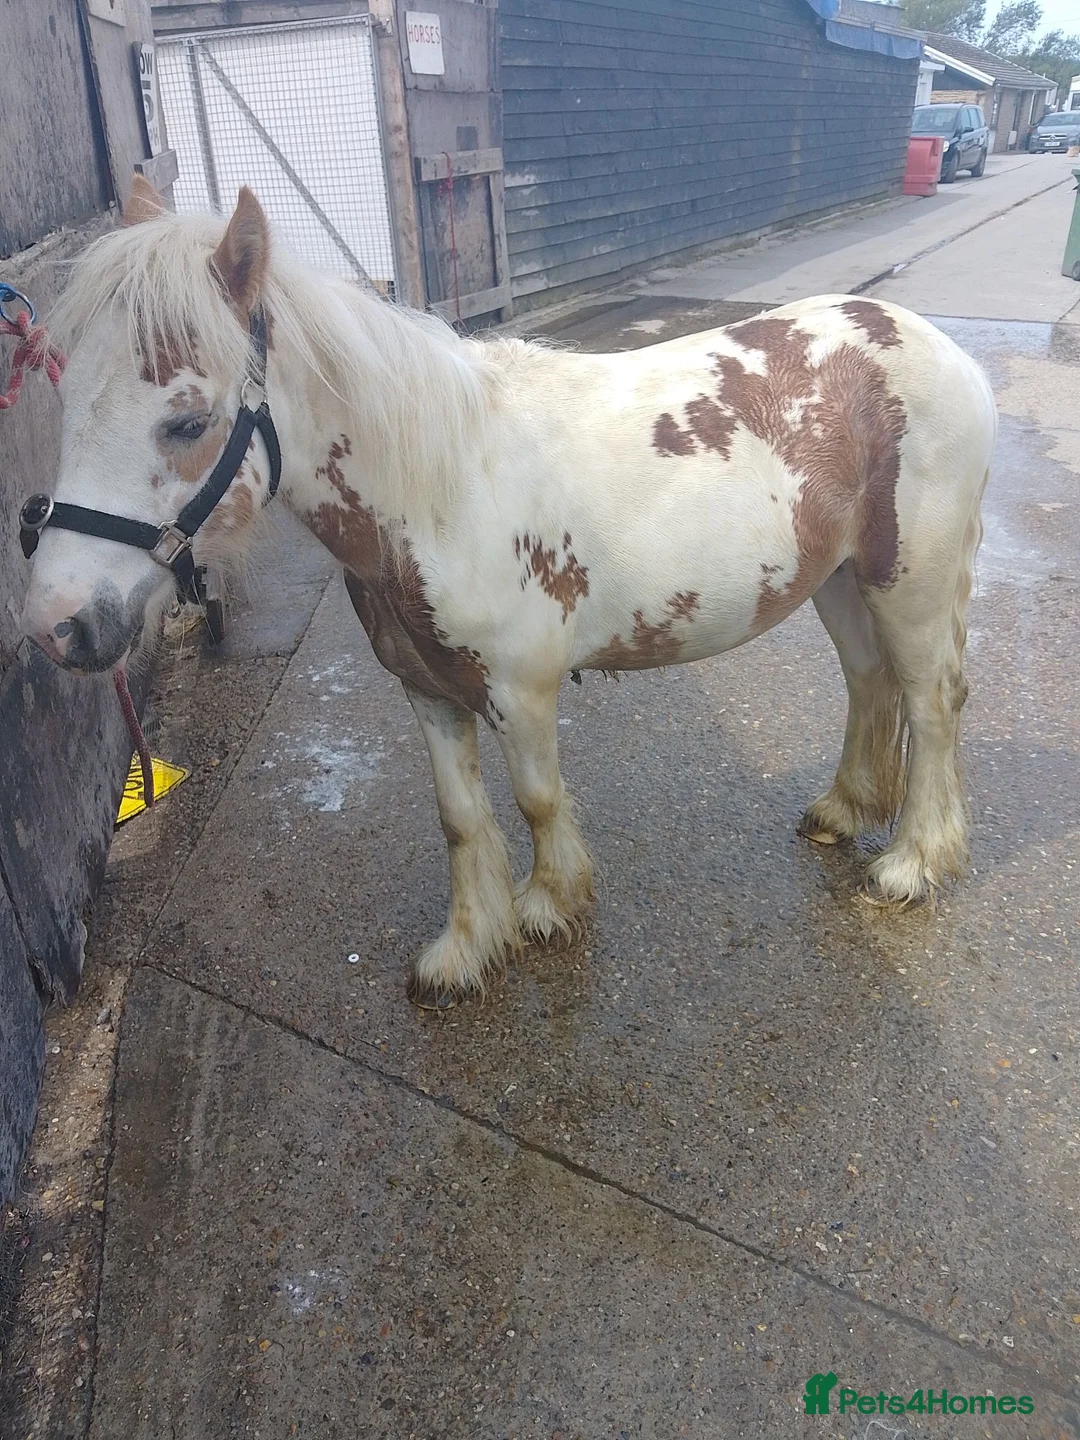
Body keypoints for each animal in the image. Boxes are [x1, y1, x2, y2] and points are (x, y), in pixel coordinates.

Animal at [20, 178, 996, 1006]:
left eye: (186, 422)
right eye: (67, 407)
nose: (56, 625)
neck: (442, 487)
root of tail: (945, 351)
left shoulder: (521, 691)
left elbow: (535, 800)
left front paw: (548, 906)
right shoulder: (427, 692)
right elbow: (459, 817)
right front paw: (463, 952)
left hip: (910, 581)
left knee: (931, 701)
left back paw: (911, 863)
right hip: (842, 578)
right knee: (870, 683)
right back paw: (843, 811)